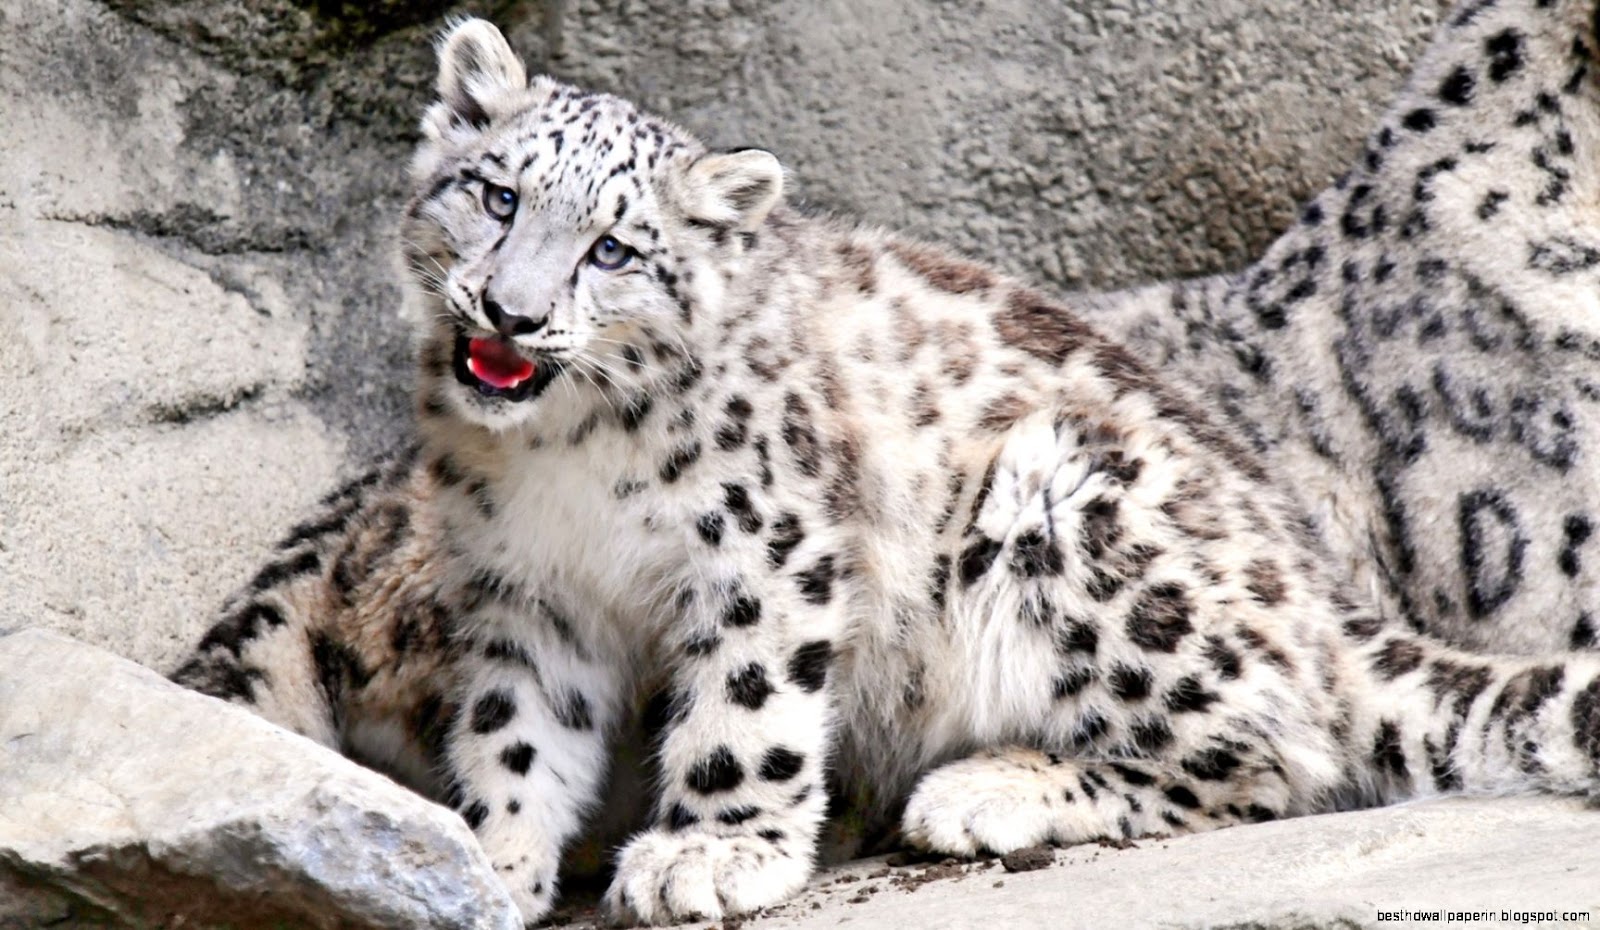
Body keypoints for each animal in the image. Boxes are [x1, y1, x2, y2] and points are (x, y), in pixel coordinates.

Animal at [174, 6, 1600, 927]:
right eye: (496, 194)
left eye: (615, 251)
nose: (511, 314)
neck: (565, 463)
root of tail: (1318, 596)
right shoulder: (527, 594)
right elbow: (519, 733)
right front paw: (487, 864)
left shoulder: (766, 547)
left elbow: (745, 712)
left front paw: (706, 859)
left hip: (1071, 504)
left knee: (1272, 752)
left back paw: (988, 789)